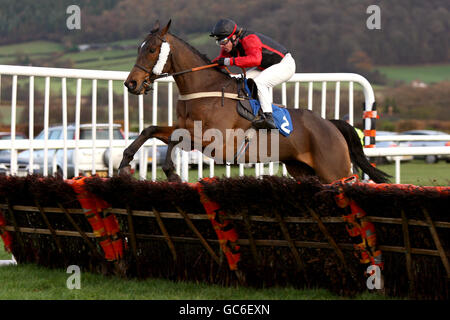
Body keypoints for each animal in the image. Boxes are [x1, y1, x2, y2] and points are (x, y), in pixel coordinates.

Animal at [119, 20, 390, 184]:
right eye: (139, 48)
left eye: (151, 49)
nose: (131, 83)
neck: (205, 90)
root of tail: (330, 124)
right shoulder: (187, 128)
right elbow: (151, 130)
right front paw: (124, 164)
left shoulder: (216, 141)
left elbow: (176, 137)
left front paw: (171, 171)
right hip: (304, 171)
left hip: (335, 171)